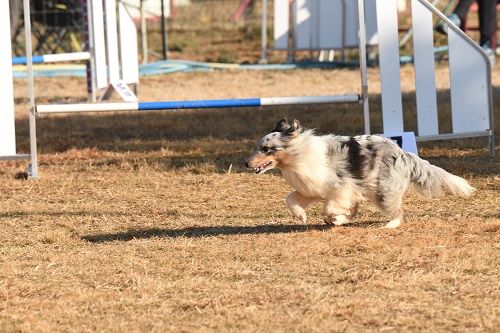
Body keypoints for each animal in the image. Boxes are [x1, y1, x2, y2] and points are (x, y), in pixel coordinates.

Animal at [244, 117, 474, 228]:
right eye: (257, 147)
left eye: (266, 149)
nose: (246, 163)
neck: (298, 154)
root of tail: (403, 153)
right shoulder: (311, 188)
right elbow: (290, 199)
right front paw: (302, 216)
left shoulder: (341, 188)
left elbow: (330, 208)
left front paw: (336, 218)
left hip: (383, 191)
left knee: (398, 211)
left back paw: (390, 225)